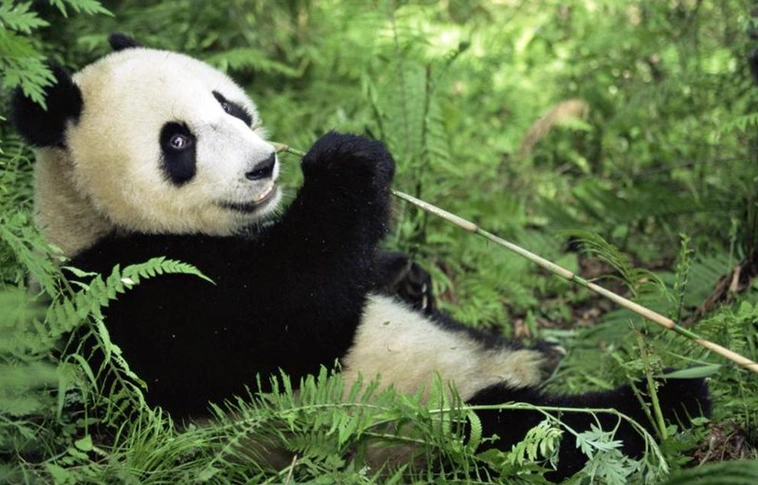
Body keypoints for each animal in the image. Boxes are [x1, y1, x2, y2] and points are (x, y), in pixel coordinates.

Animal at [11, 34, 710, 480]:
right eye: (177, 141)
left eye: (229, 105)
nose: (264, 166)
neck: (90, 213)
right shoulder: (126, 297)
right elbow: (284, 326)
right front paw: (348, 163)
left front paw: (407, 273)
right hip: (424, 423)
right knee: (539, 429)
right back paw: (670, 399)